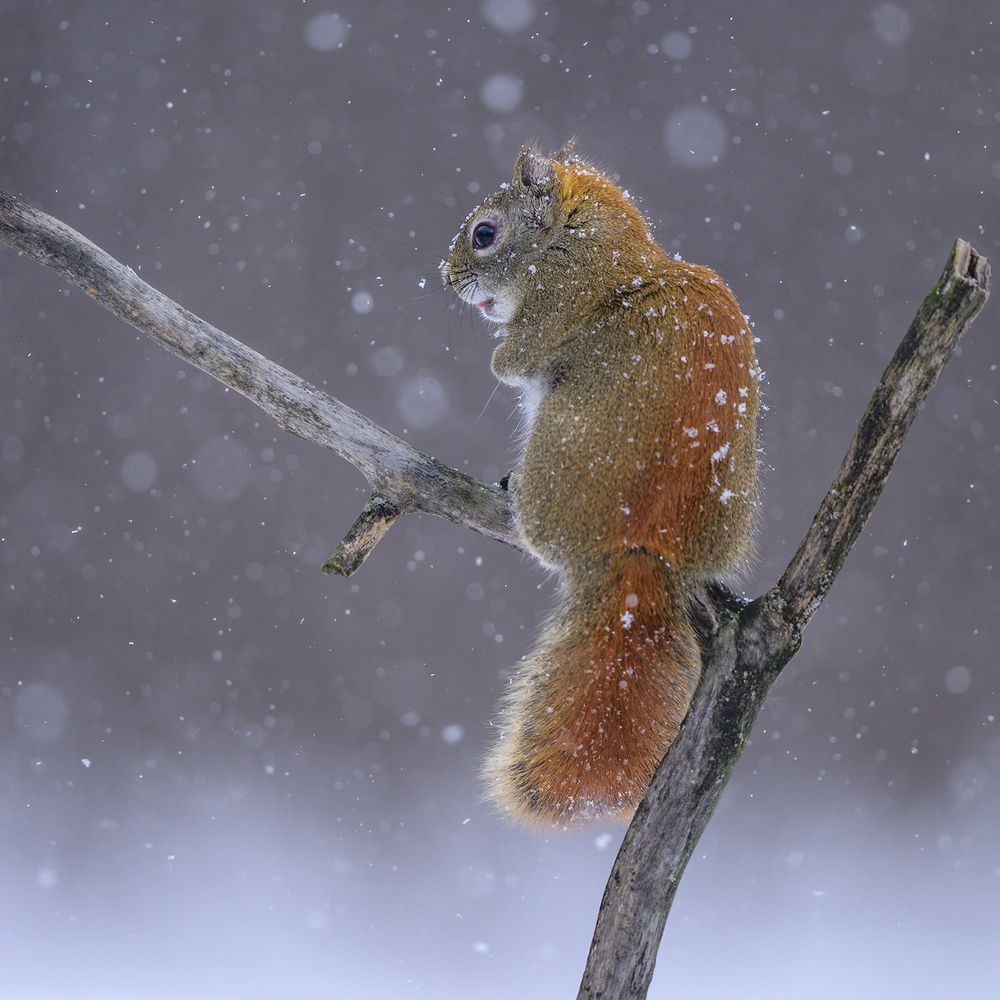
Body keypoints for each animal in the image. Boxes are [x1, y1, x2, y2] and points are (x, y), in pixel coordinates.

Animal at [441, 141, 761, 826]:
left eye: (485, 233)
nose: (447, 277)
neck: (596, 233)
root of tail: (643, 546)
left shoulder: (554, 299)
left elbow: (513, 360)